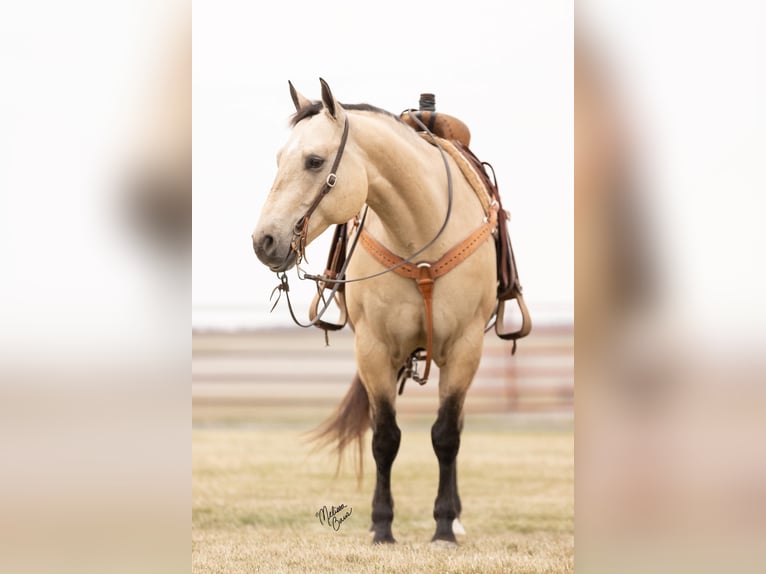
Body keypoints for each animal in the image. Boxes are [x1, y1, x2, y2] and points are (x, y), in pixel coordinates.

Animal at [252, 79, 528, 548]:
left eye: (314, 161)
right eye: (278, 159)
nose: (264, 240)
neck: (421, 236)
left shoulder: (465, 348)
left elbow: (446, 435)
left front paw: (443, 527)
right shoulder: (374, 350)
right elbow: (384, 438)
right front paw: (381, 526)